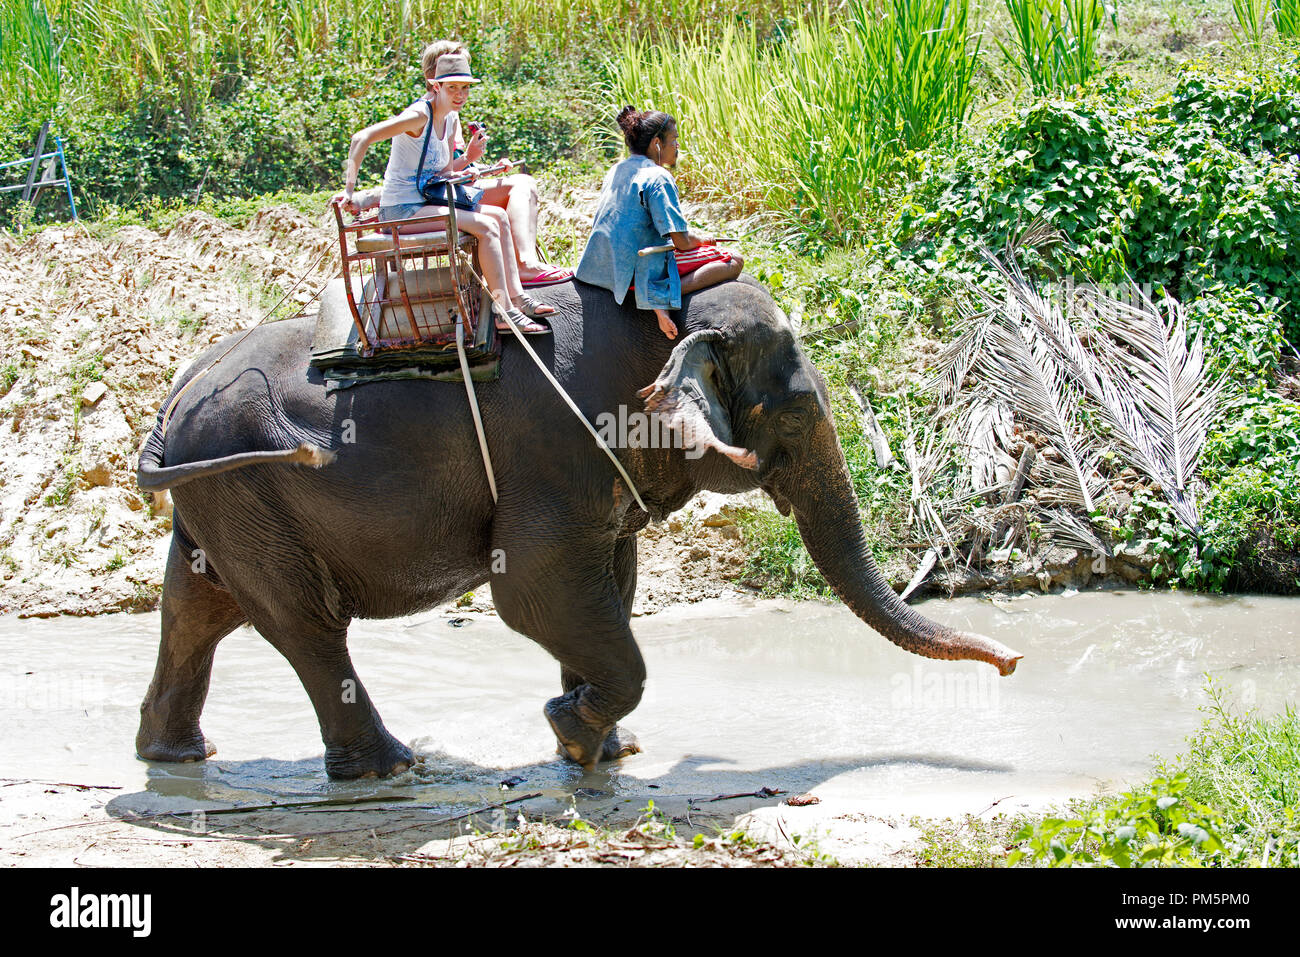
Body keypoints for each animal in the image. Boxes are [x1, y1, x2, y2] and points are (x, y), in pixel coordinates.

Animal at [137, 274, 1019, 780]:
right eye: (795, 413)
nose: (1013, 661)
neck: (661, 322)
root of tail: (172, 395)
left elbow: (609, 587)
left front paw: (600, 746)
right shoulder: (558, 450)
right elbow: (531, 591)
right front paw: (572, 734)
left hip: (225, 498)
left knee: (196, 605)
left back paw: (177, 755)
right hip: (245, 485)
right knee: (305, 623)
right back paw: (389, 769)